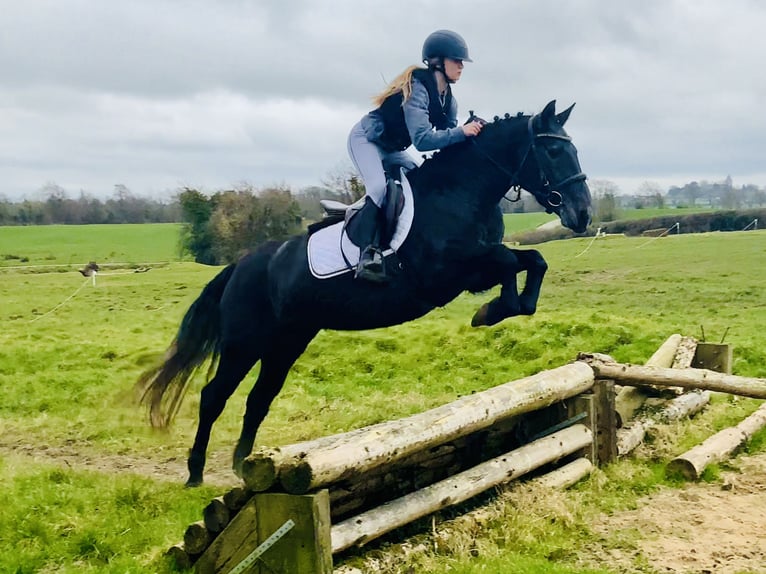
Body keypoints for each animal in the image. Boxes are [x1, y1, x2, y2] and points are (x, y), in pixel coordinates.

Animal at [136, 99, 592, 486]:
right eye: (553, 152)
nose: (583, 213)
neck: (459, 192)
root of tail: (242, 265)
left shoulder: (475, 269)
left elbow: (529, 263)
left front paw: (497, 309)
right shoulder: (447, 273)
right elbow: (513, 262)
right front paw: (494, 310)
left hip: (287, 341)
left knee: (259, 398)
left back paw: (243, 466)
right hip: (244, 343)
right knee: (214, 396)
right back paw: (195, 473)